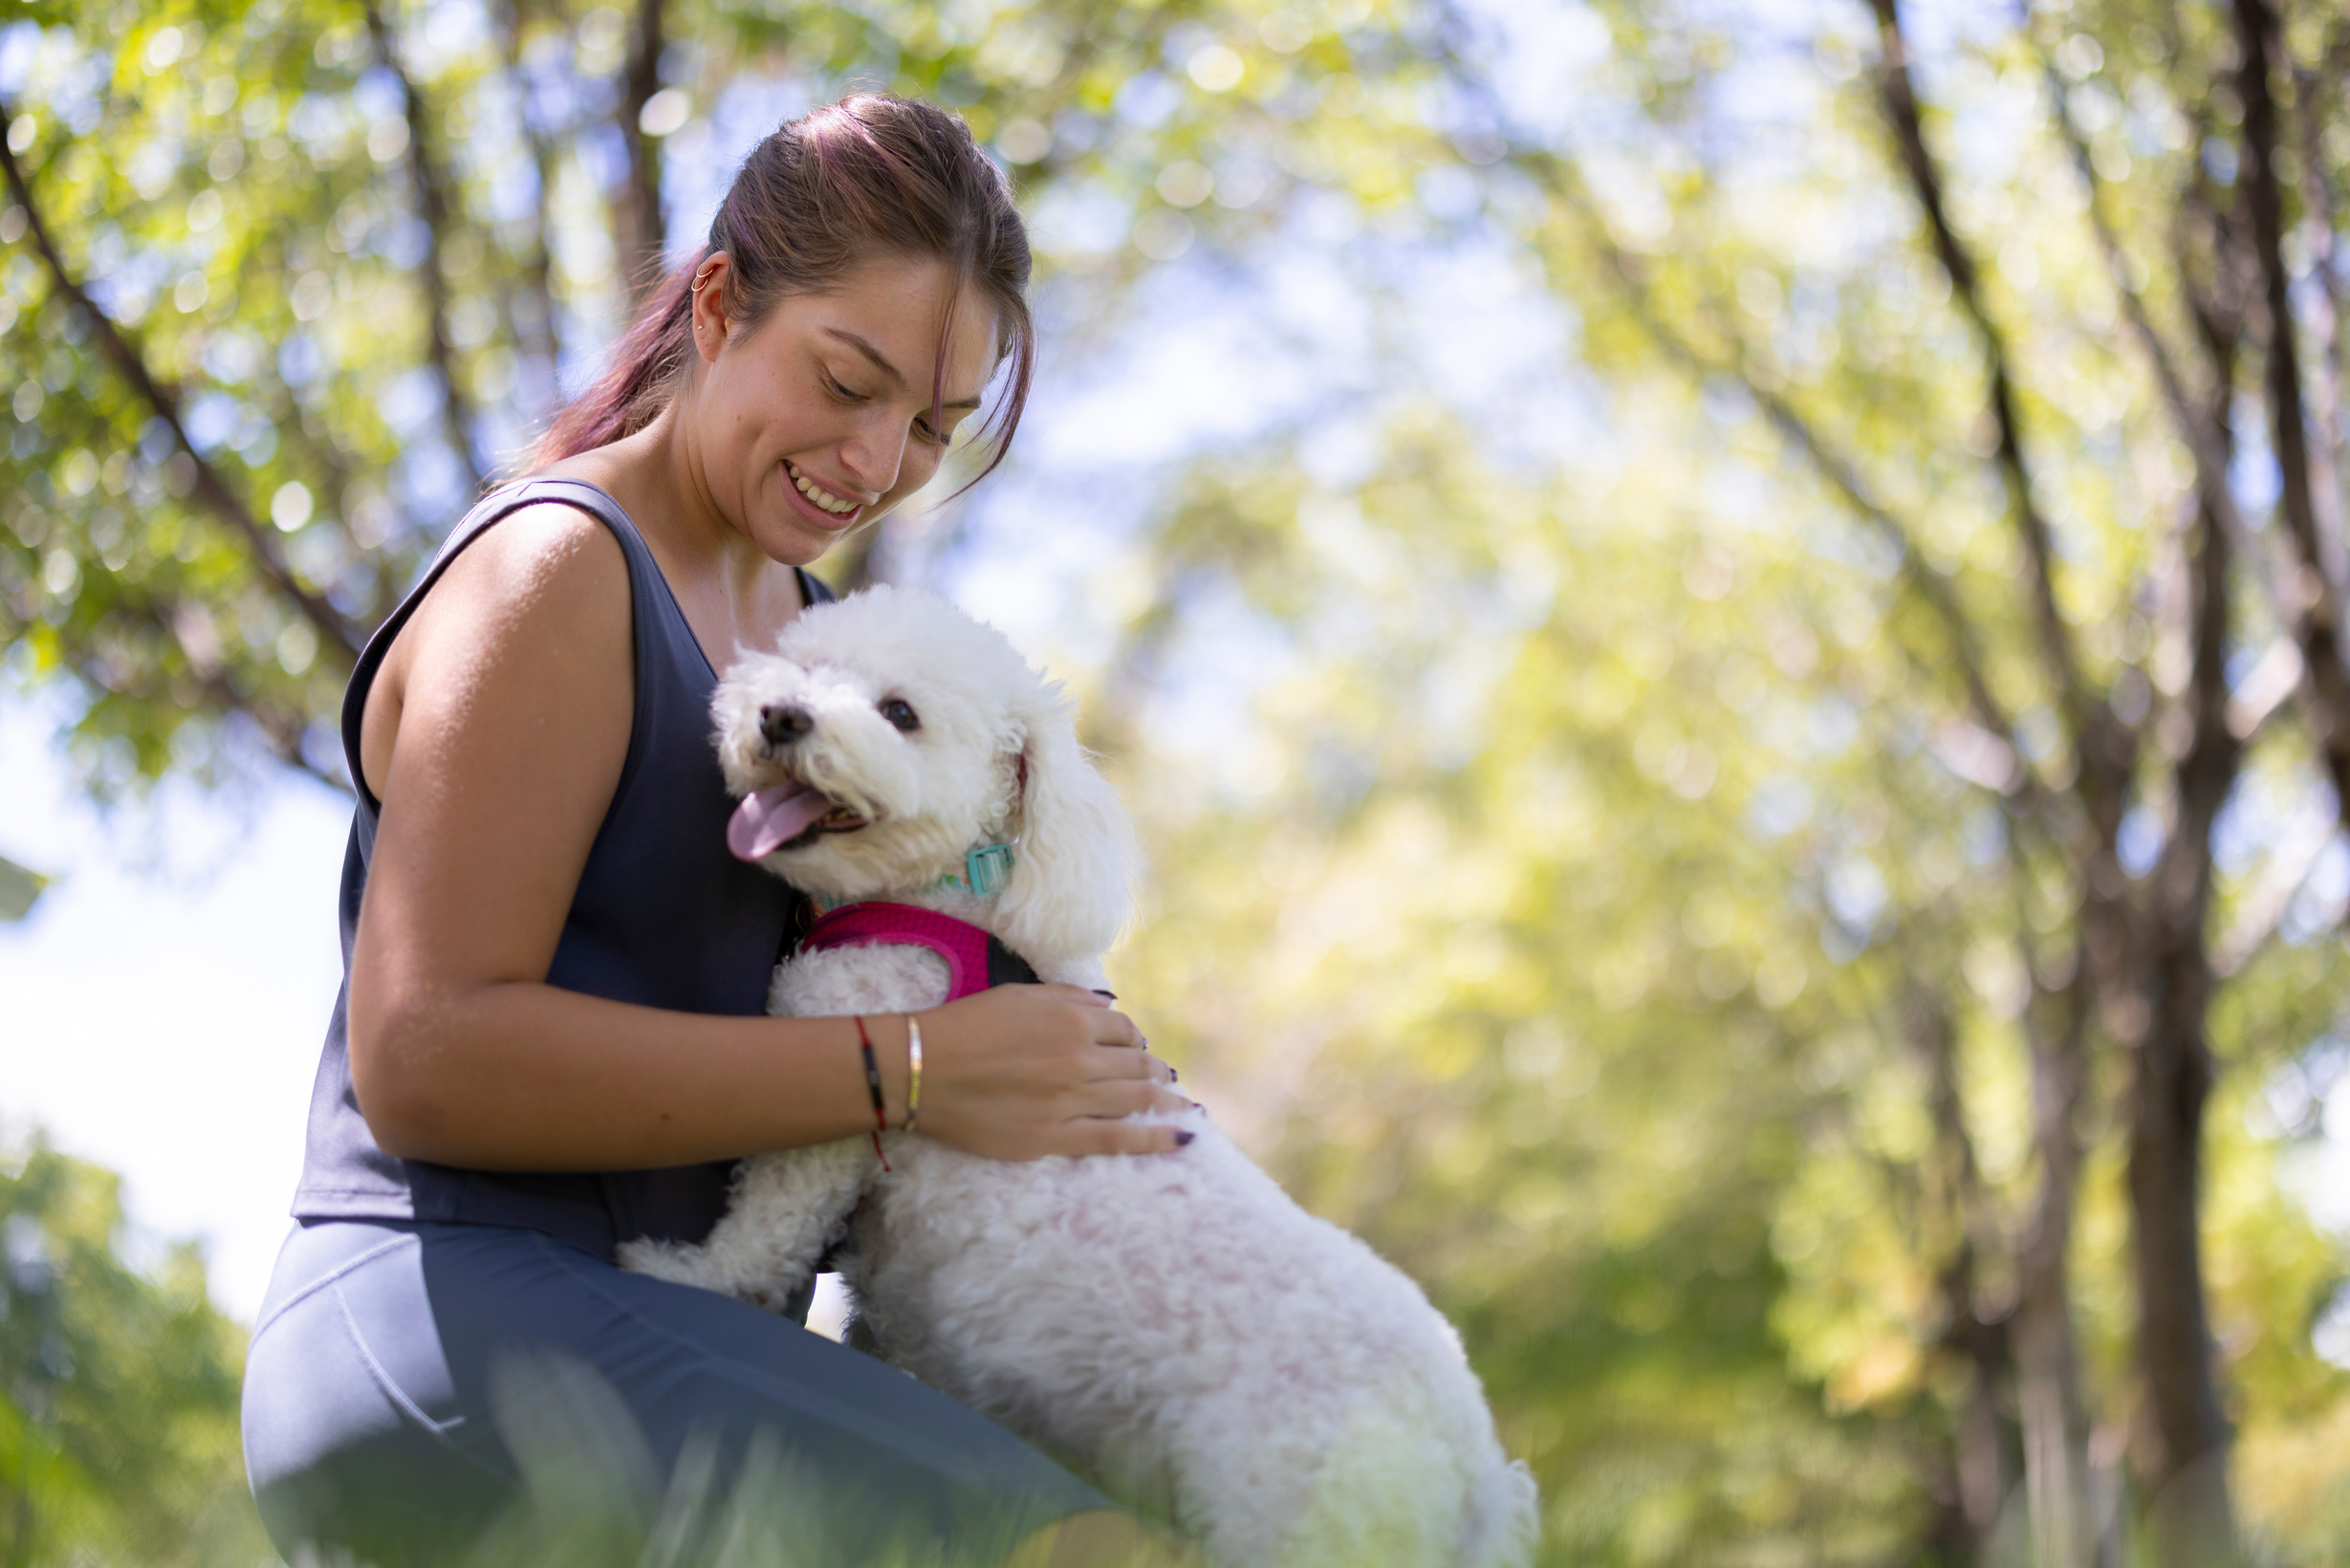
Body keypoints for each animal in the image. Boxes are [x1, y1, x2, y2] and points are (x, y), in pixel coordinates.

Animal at [620, 585, 1541, 1568]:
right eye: (808, 665)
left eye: (899, 713)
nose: (781, 715)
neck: (953, 902)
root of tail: (1478, 1473)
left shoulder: (836, 1095)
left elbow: (768, 1226)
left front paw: (686, 1276)